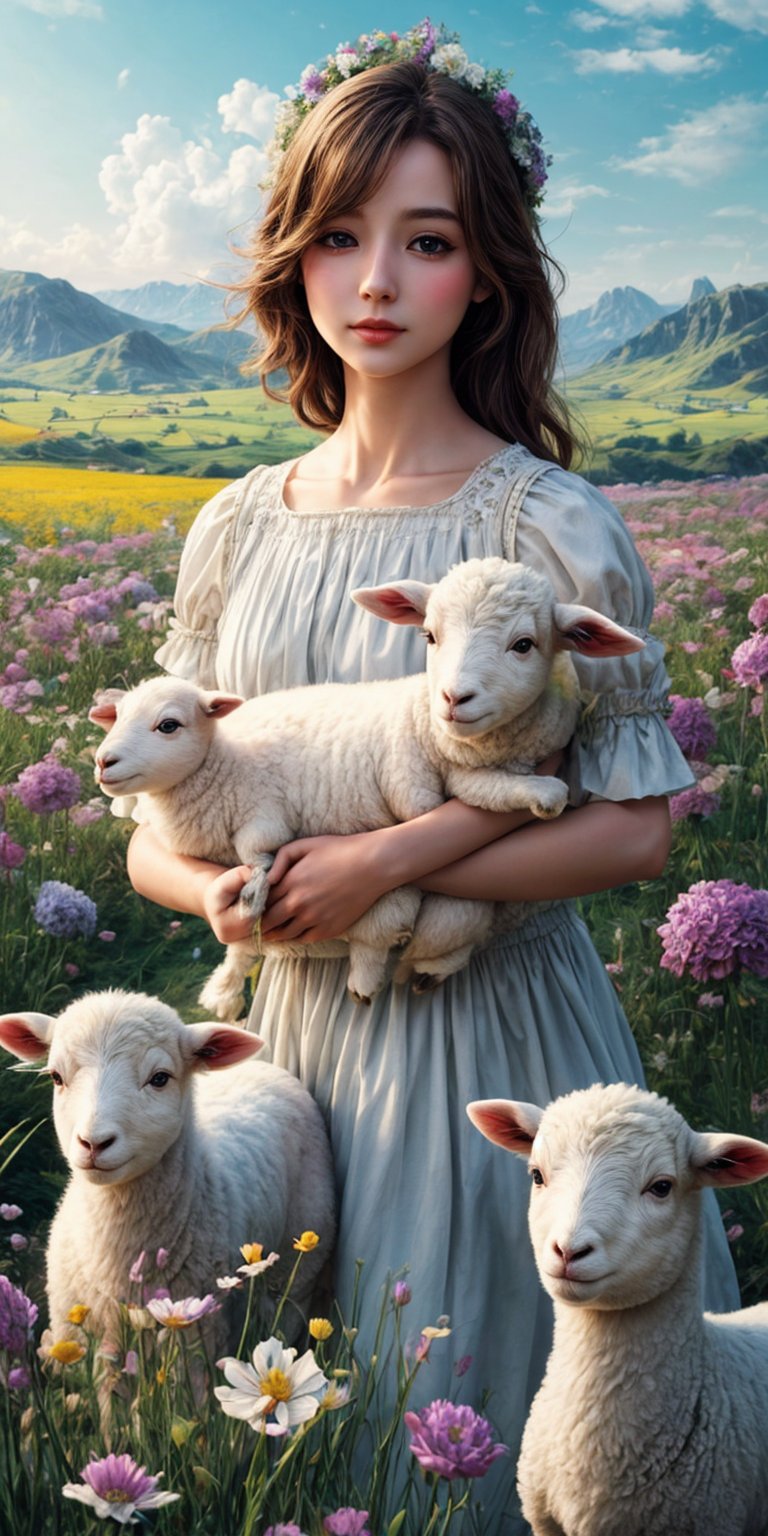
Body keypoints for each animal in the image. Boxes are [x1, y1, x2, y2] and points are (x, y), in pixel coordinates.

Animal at [0, 989, 336, 1351]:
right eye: (56, 1077)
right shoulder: (75, 1332)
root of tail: (264, 1065)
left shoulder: (196, 1340)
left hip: (299, 1264)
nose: (93, 1143)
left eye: (160, 1078)